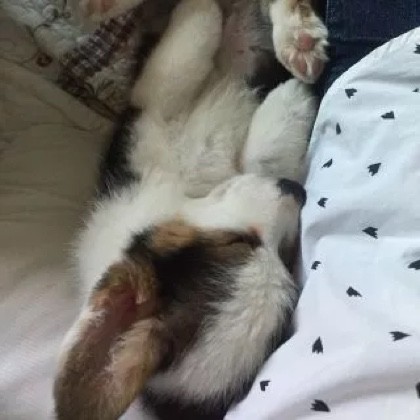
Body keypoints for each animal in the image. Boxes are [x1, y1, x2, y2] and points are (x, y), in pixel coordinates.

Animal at [54, 1, 328, 419]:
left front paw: (290, 100)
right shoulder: (149, 116)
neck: (187, 191)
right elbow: (181, 59)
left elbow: (257, 159)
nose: (296, 190)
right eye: (238, 242)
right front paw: (201, 9)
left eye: (283, 254)